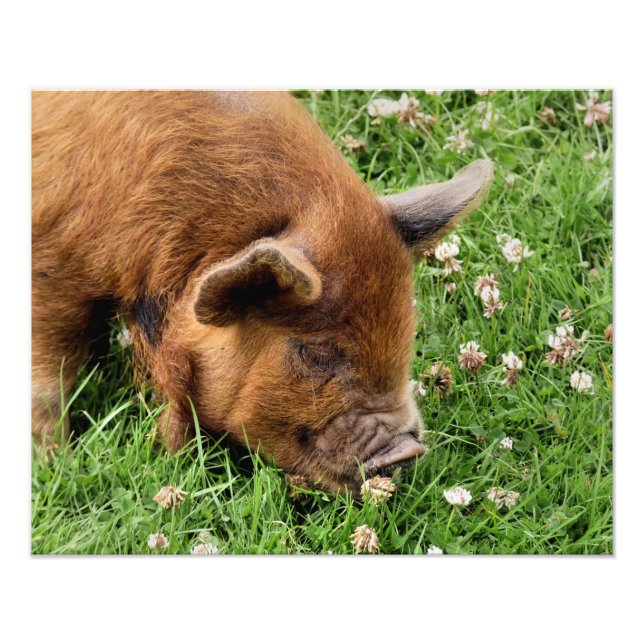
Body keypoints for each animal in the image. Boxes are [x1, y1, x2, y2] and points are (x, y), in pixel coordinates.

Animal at [32, 91, 493, 492]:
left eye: (406, 335)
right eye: (315, 353)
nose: (408, 450)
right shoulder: (52, 266)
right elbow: (48, 379)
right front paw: (54, 460)